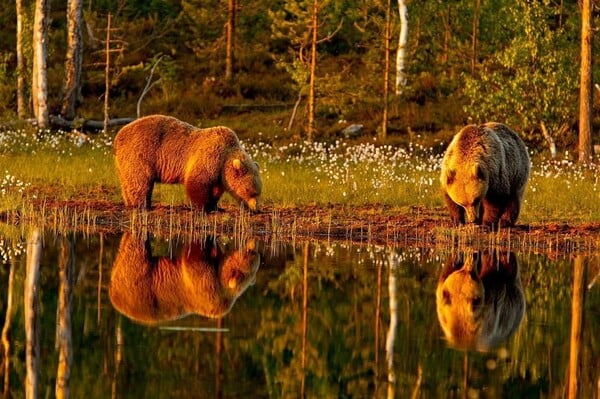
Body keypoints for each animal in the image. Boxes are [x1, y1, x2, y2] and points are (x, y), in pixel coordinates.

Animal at [113, 115, 262, 212]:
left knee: (128, 181)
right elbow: (197, 182)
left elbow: (215, 190)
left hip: (123, 162)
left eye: (259, 192)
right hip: (140, 153)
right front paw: (202, 207)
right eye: (250, 191)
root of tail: (119, 135)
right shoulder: (209, 157)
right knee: (140, 181)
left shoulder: (219, 173)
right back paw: (142, 205)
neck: (225, 157)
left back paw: (130, 202)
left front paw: (214, 206)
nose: (255, 209)